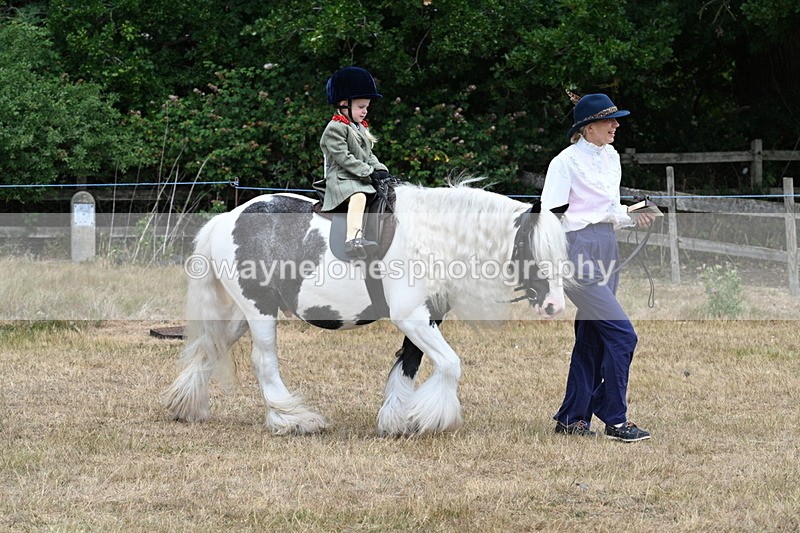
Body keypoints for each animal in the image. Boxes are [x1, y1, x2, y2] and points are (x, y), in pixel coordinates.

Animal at [162, 181, 570, 436]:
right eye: (533, 249)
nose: (554, 305)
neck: (430, 236)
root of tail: (226, 219)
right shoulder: (411, 317)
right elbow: (450, 365)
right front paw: (429, 417)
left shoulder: (426, 317)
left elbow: (409, 364)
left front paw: (398, 420)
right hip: (259, 310)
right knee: (263, 361)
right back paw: (292, 420)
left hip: (248, 312)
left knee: (214, 345)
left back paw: (185, 404)